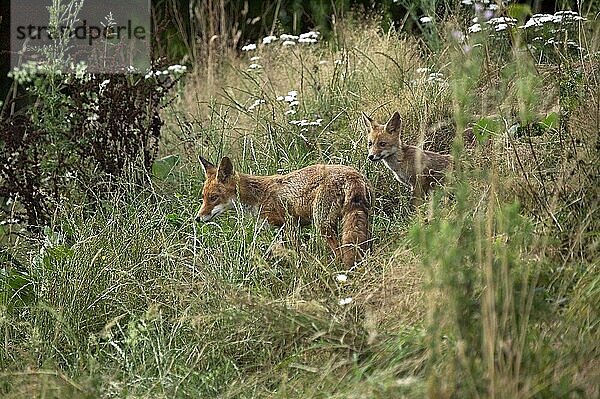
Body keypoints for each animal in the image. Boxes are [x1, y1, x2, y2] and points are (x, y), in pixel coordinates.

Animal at [197, 158, 372, 268]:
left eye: (213, 198)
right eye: (203, 197)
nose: (197, 218)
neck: (258, 196)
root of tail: (353, 175)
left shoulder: (289, 227)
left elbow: (299, 254)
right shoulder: (281, 232)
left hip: (323, 225)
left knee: (339, 253)